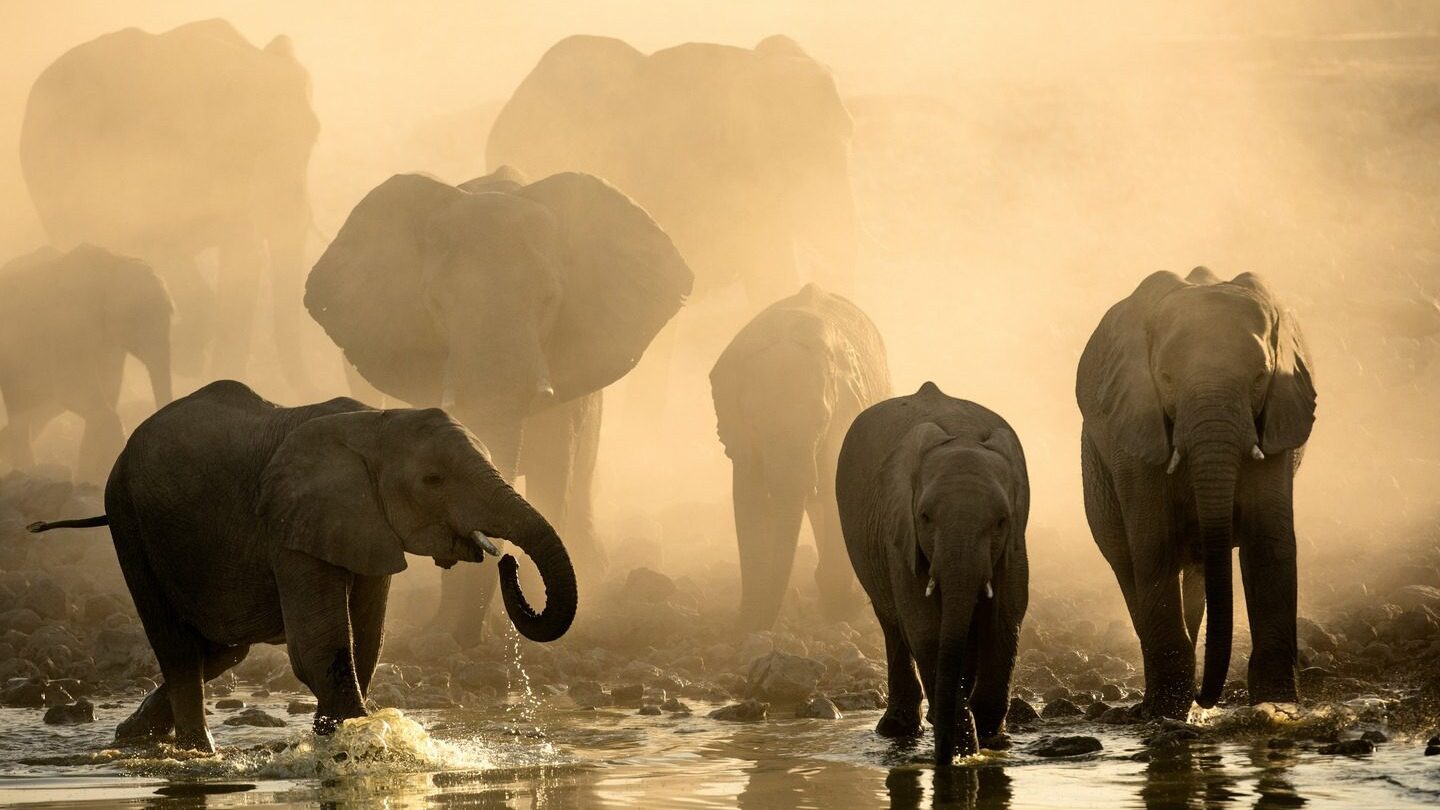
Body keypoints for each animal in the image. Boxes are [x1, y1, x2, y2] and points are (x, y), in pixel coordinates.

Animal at [0, 245, 172, 482]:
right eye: (136, 317)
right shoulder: (67, 323)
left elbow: (108, 390)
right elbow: (73, 391)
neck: (113, 264)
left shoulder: (109, 343)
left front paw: (89, 480)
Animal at [26, 380, 575, 752]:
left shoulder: (364, 525)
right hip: (128, 519)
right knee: (180, 649)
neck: (377, 421)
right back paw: (197, 753)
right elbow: (319, 647)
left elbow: (366, 640)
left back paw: (130, 738)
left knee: (220, 651)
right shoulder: (290, 523)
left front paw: (339, 737)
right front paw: (358, 740)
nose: (508, 560)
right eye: (433, 480)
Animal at [710, 283, 891, 630]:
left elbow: (835, 493)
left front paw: (841, 610)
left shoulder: (841, 422)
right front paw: (748, 623)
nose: (762, 625)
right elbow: (749, 499)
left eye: (821, 421)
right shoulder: (742, 438)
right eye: (756, 424)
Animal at [836, 382, 1029, 765]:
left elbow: (1006, 616)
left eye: (1001, 521)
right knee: (892, 622)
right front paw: (961, 749)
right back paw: (898, 728)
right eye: (925, 517)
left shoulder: (1016, 539)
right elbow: (924, 624)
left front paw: (991, 742)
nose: (941, 759)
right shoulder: (900, 533)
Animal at [1076, 267, 1316, 719]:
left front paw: (1278, 709)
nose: (1209, 696)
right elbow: (1153, 543)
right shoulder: (1136, 425)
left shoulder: (1276, 418)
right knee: (1125, 560)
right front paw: (1166, 714)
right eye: (1167, 379)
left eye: (1260, 377)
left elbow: (1269, 542)